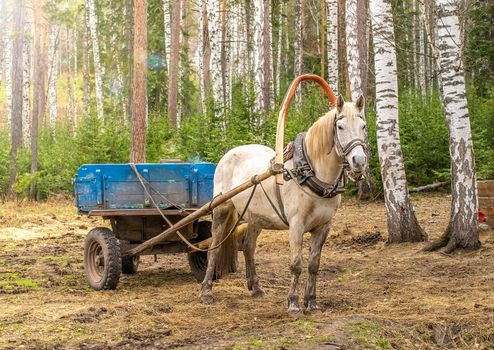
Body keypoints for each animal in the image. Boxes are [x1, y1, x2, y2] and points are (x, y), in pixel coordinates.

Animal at [200, 94, 366, 314]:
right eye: (340, 126)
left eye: (363, 126)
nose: (359, 161)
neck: (309, 172)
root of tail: (228, 154)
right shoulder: (296, 225)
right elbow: (296, 264)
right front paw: (293, 304)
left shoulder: (323, 226)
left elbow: (314, 265)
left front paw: (312, 303)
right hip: (222, 209)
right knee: (214, 248)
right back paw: (206, 291)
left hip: (255, 217)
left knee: (248, 247)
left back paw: (256, 287)